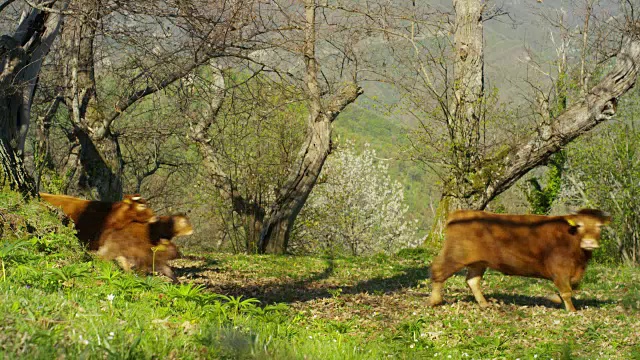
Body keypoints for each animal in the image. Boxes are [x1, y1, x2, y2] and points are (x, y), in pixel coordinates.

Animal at [430, 210, 608, 310]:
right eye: (579, 225)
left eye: (599, 226)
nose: (589, 243)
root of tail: (458, 214)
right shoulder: (560, 269)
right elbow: (566, 292)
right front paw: (572, 310)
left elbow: (572, 287)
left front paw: (555, 298)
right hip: (455, 255)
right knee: (438, 270)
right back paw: (434, 300)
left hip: (478, 262)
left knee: (472, 281)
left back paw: (484, 304)